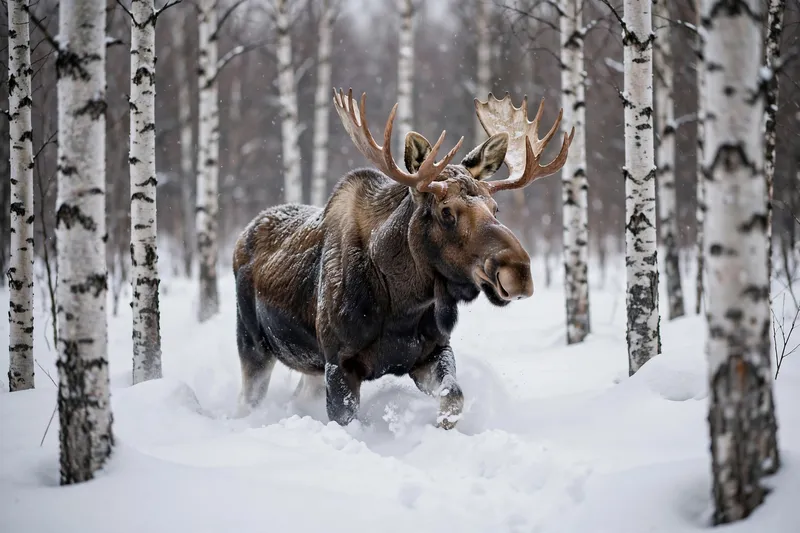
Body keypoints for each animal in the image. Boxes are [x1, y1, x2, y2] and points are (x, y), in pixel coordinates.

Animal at [232, 88, 573, 429]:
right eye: (446, 212)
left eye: (495, 208)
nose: (518, 272)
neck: (403, 305)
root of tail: (242, 236)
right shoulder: (339, 363)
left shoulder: (432, 351)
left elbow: (453, 397)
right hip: (253, 344)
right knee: (249, 397)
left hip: (310, 365)